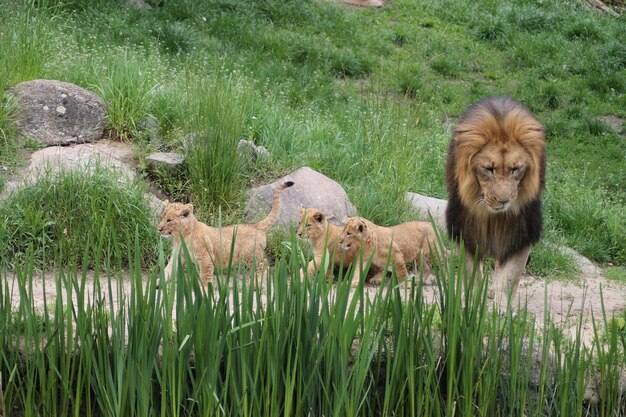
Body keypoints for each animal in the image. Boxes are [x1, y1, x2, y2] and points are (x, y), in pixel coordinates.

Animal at [444, 96, 540, 308]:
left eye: (515, 169)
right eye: (488, 169)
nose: (503, 200)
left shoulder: (521, 233)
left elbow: (511, 276)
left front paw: (502, 308)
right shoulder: (465, 230)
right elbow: (471, 273)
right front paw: (472, 303)